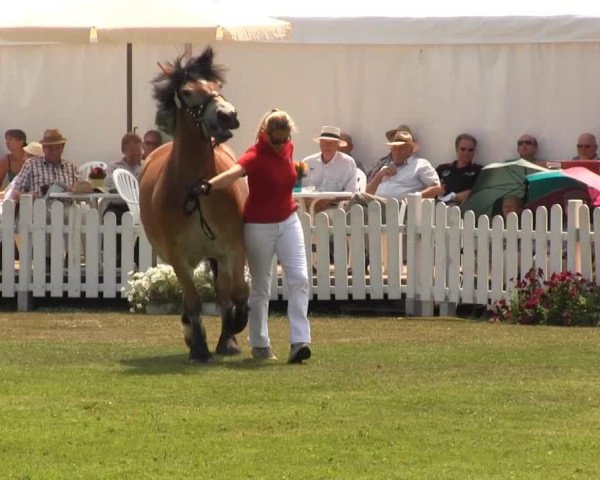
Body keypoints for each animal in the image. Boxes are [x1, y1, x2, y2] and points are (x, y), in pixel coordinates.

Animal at [140, 47, 248, 364]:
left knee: (224, 293)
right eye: (187, 92)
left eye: (217, 85)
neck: (197, 188)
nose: (227, 115)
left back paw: (228, 338)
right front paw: (199, 347)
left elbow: (238, 293)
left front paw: (234, 328)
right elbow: (193, 301)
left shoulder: (232, 247)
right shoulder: (178, 256)